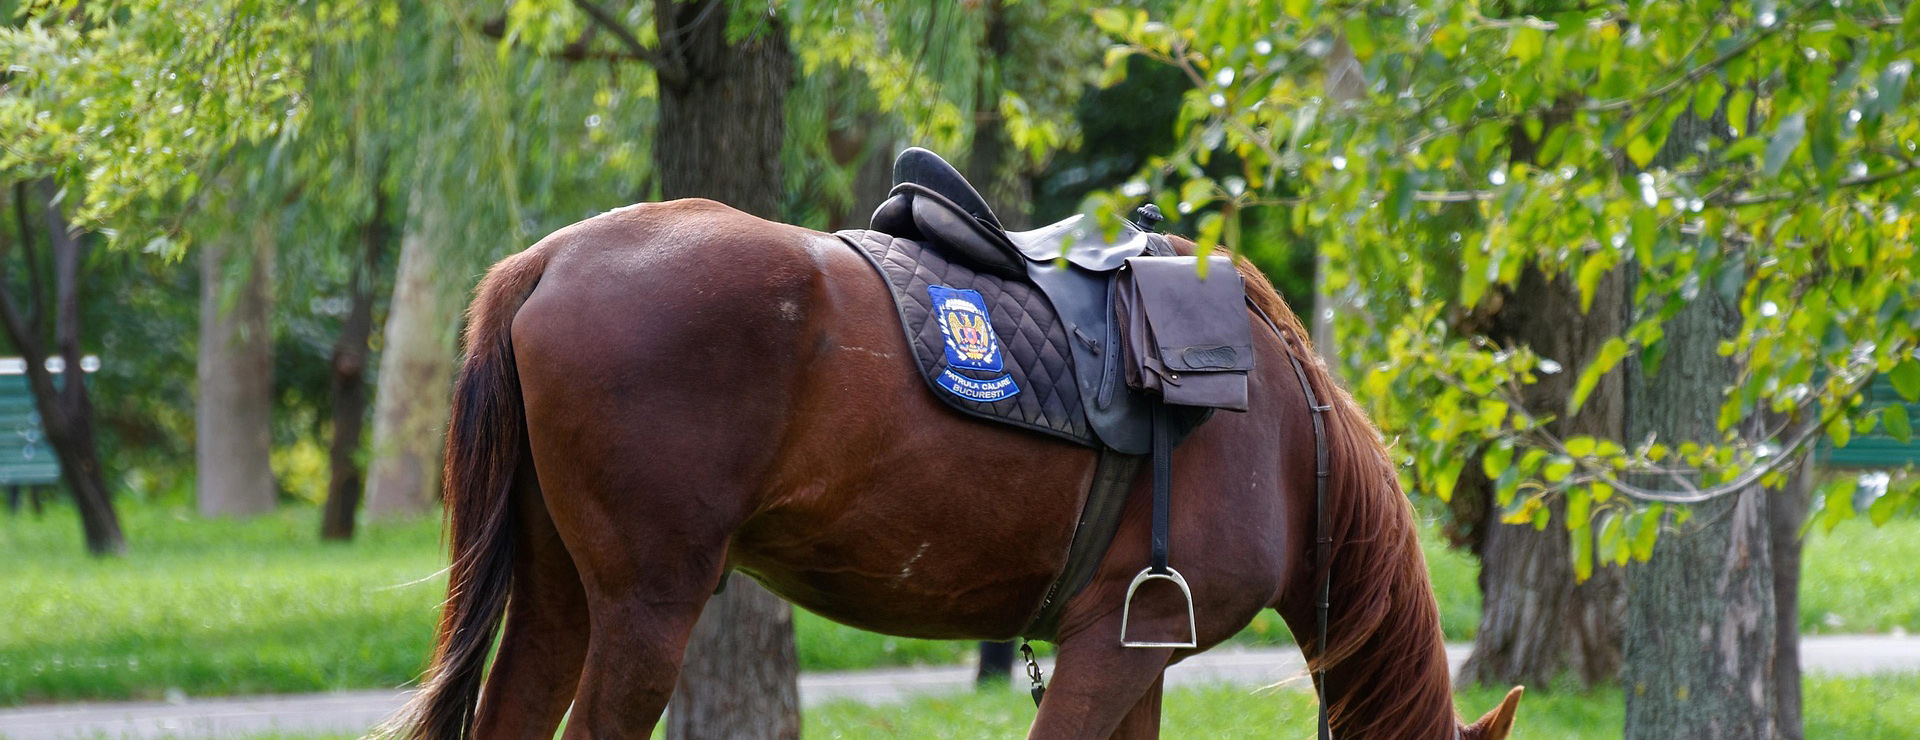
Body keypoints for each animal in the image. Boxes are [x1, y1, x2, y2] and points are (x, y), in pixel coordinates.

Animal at [390, 198, 1524, 739]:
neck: (1291, 439)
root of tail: (547, 261)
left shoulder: (1141, 651)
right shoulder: (1108, 652)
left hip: (559, 597)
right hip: (645, 605)